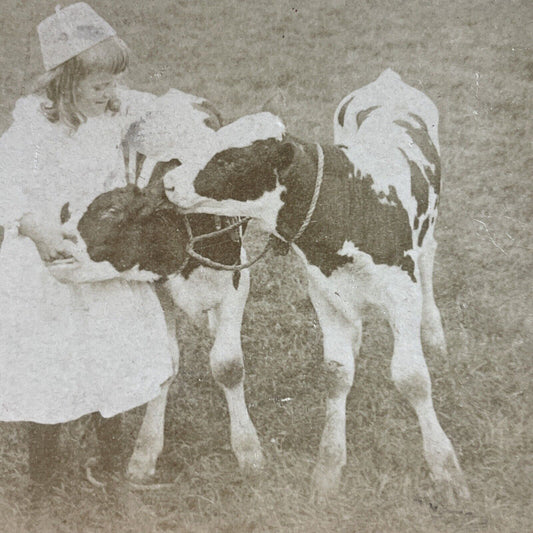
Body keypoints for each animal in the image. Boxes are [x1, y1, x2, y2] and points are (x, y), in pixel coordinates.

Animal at [48, 90, 260, 482]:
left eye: (111, 212)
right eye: (66, 211)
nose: (56, 250)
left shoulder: (238, 279)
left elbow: (228, 365)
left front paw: (248, 451)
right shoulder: (157, 287)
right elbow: (167, 363)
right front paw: (144, 453)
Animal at [163, 69, 470, 498]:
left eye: (231, 159)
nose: (168, 182)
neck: (353, 201)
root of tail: (388, 80)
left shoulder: (402, 292)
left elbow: (412, 377)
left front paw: (445, 468)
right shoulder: (323, 290)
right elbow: (337, 374)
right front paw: (328, 468)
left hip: (427, 237)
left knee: (430, 260)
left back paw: (436, 335)